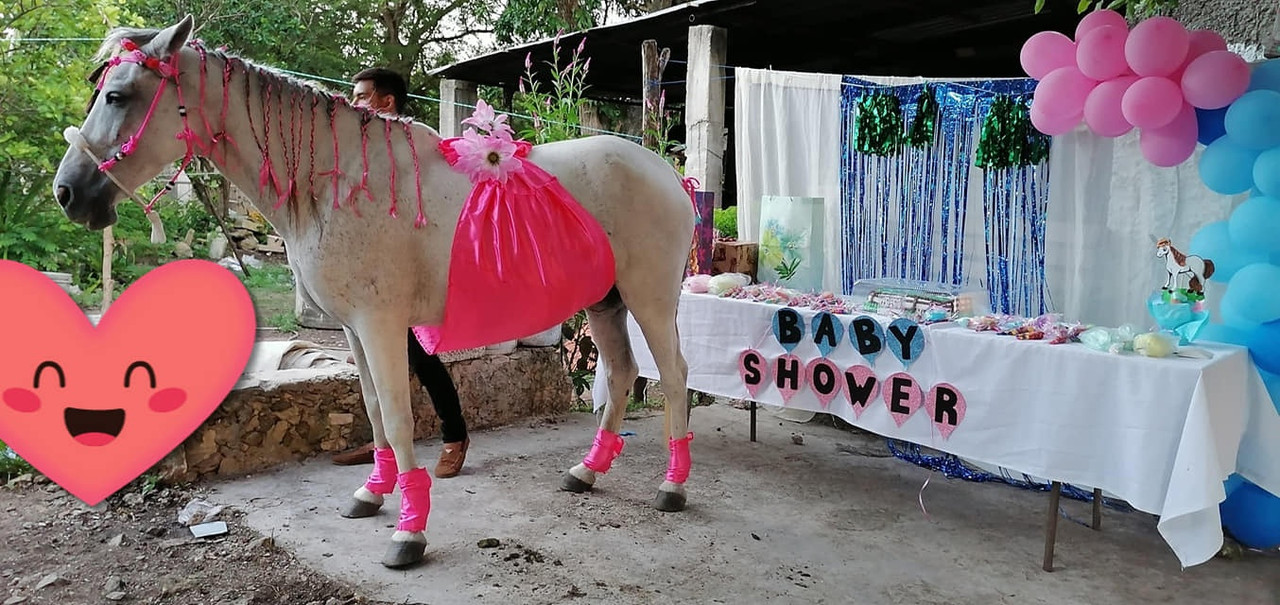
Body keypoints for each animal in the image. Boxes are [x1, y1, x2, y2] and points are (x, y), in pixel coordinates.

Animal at [57, 16, 701, 567]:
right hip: (604, 302)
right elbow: (369, 408)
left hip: (649, 298)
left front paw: (408, 533)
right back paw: (586, 472)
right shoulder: (352, 329)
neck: (340, 186)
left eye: (117, 96)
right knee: (621, 372)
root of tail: (667, 171)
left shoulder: (382, 325)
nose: (68, 193)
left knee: (672, 375)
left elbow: (396, 413)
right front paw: (372, 493)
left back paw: (672, 487)